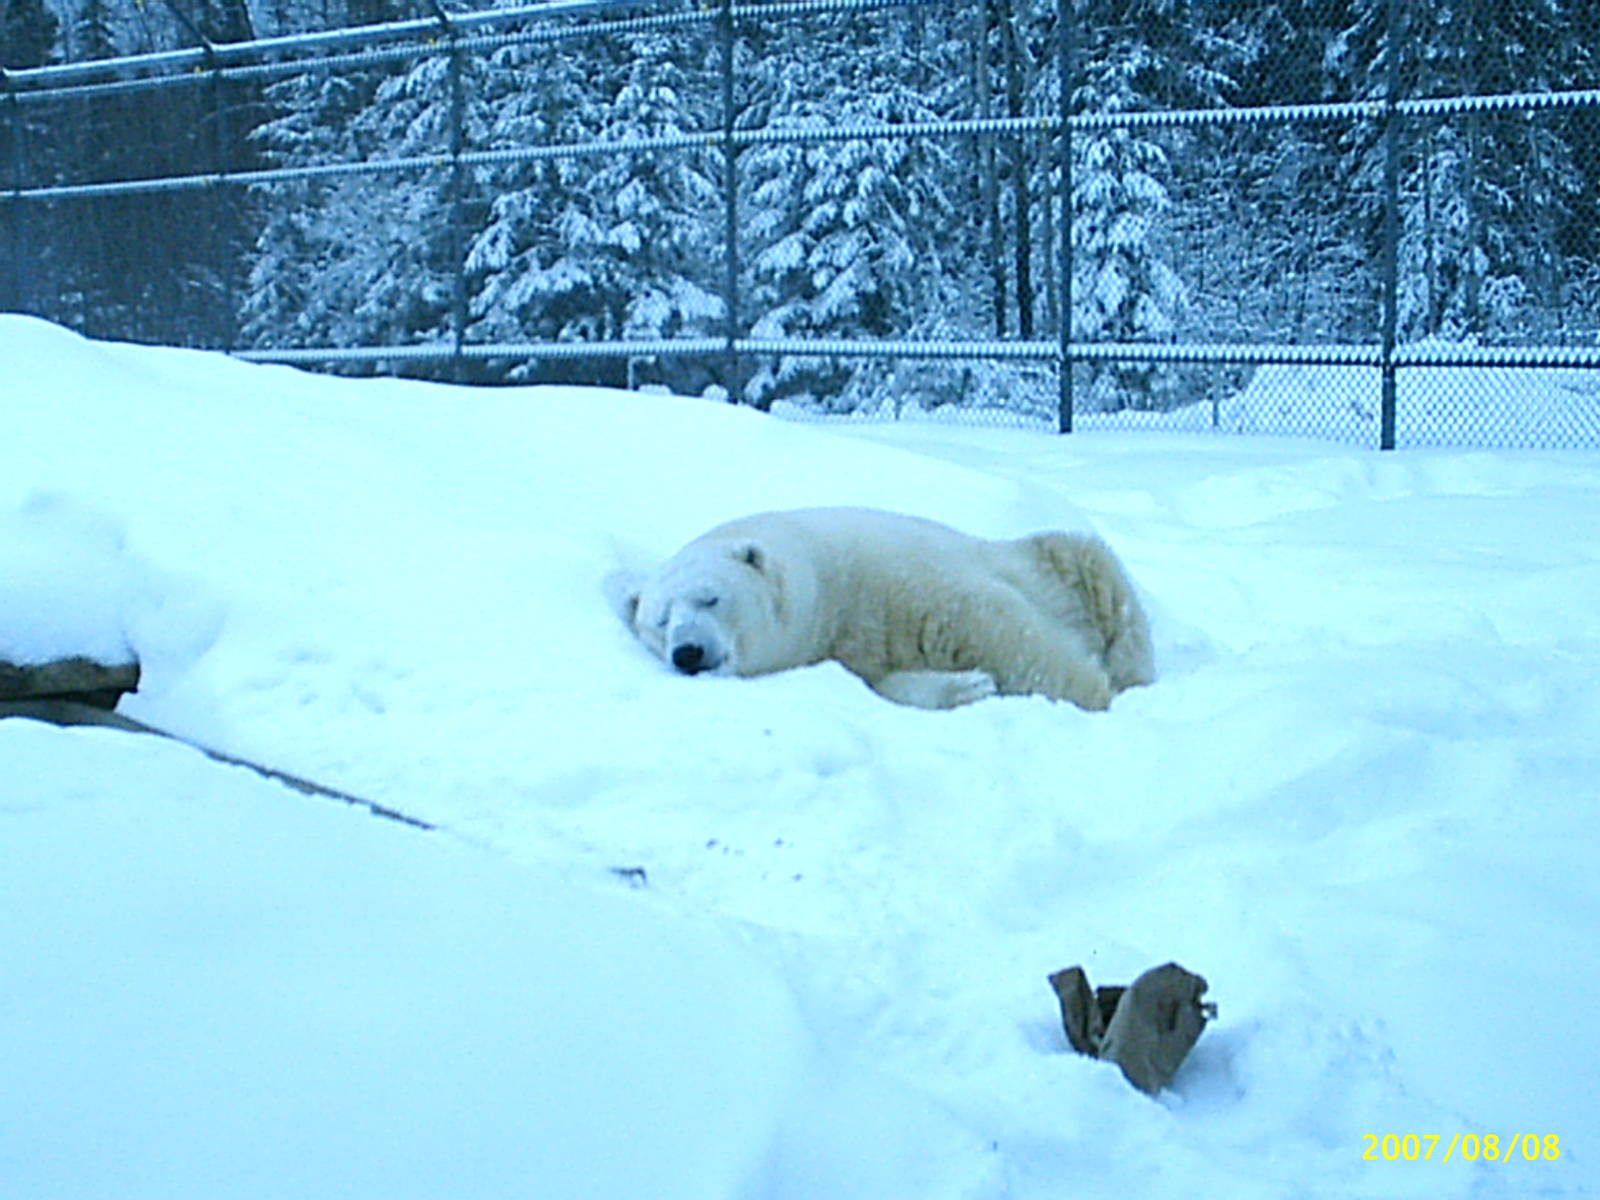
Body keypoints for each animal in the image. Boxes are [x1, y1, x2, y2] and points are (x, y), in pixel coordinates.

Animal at [610, 507, 1155, 711]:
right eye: (660, 622)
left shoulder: (898, 577)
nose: (687, 652)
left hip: (1047, 559)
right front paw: (970, 685)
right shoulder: (843, 646)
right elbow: (885, 681)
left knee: (1095, 571)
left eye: (710, 597)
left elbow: (999, 627)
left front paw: (1092, 692)